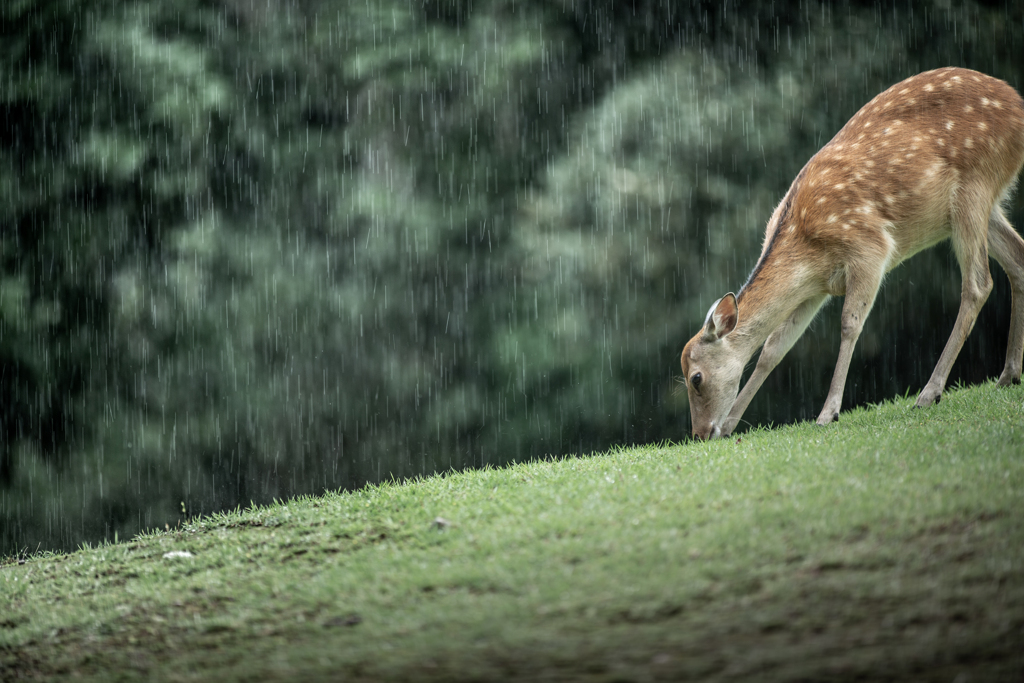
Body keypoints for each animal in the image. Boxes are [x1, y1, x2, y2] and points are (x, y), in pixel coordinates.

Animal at [679, 66, 1024, 440]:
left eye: (696, 378)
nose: (700, 433)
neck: (807, 247)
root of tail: (1017, 104)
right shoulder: (814, 290)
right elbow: (774, 347)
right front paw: (731, 424)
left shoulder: (869, 248)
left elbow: (849, 324)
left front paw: (828, 413)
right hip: (985, 202)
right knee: (1017, 260)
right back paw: (1008, 374)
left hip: (974, 185)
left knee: (978, 283)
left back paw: (929, 392)